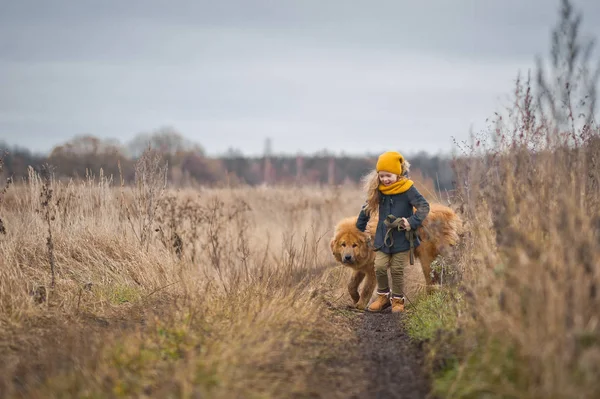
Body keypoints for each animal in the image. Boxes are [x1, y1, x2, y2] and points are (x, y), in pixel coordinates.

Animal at [330, 203, 462, 310]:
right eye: (343, 244)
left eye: (354, 245)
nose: (347, 257)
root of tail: (449, 213)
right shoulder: (363, 266)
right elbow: (351, 285)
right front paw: (355, 298)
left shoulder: (373, 270)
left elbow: (367, 289)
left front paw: (360, 305)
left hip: (427, 259)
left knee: (432, 282)